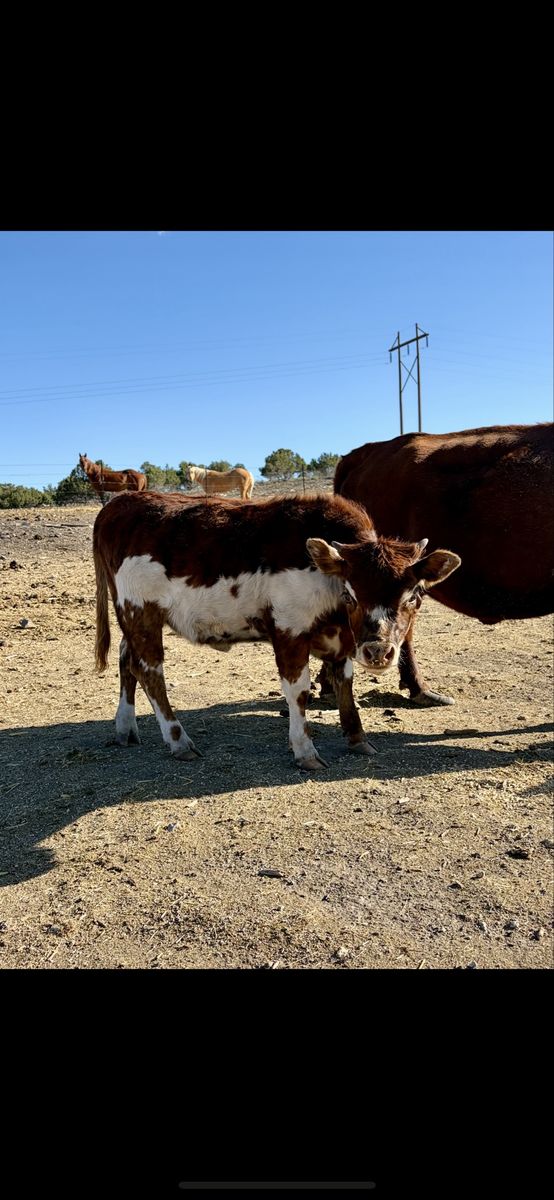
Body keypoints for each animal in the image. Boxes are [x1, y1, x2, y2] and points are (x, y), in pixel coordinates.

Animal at [92, 491, 460, 770]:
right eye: (351, 595)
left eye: (415, 596)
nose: (378, 652)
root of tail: (121, 502)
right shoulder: (289, 629)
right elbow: (299, 691)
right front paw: (305, 750)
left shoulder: (342, 638)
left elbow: (345, 682)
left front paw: (357, 739)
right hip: (139, 611)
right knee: (149, 671)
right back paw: (178, 739)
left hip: (132, 617)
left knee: (127, 661)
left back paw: (125, 728)